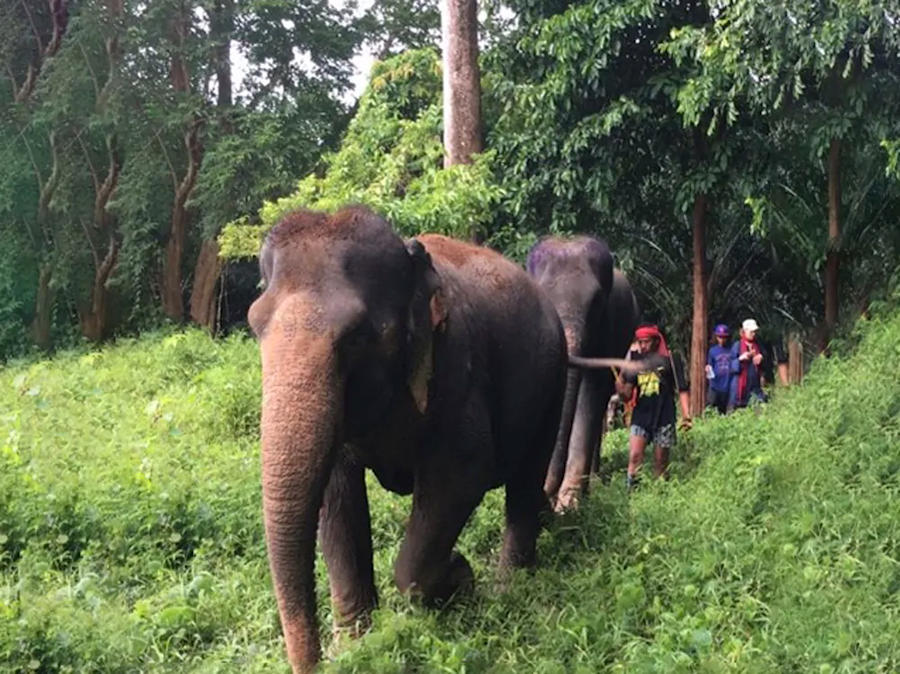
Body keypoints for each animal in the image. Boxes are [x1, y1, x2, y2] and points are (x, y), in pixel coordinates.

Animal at [248, 206, 566, 673]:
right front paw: (357, 646)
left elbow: (463, 473)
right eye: (254, 327)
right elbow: (337, 497)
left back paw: (510, 585)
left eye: (356, 337)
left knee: (526, 477)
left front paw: (459, 575)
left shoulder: (455, 364)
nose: (318, 662)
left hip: (553, 376)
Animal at [526, 236, 640, 511]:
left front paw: (569, 503)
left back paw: (595, 481)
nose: (547, 496)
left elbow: (591, 392)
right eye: (543, 295)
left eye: (597, 301)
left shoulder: (607, 328)